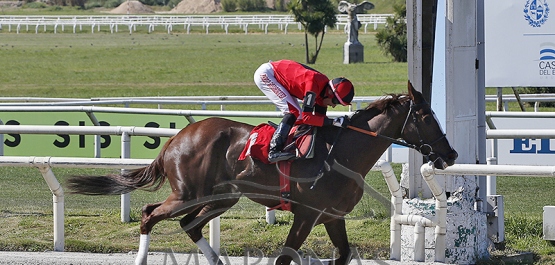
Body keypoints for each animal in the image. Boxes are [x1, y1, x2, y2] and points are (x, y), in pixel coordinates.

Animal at [67, 81, 458, 264]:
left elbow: (345, 253)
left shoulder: (332, 216)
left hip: (221, 197)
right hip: (188, 193)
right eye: (426, 116)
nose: (450, 153)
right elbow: (285, 256)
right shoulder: (306, 215)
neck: (343, 152)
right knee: (150, 215)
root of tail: (175, 140)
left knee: (189, 225)